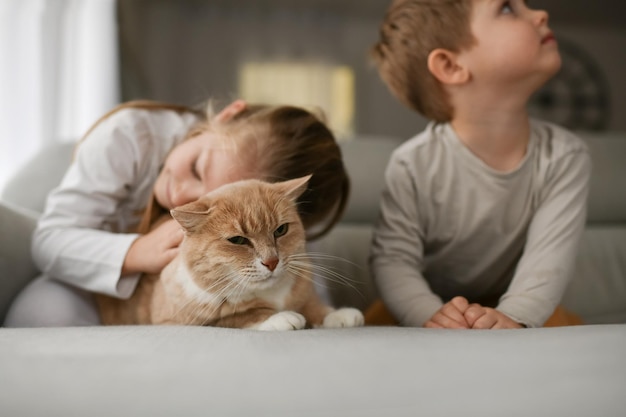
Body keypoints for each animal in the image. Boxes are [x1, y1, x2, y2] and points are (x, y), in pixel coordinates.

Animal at [95, 174, 364, 330]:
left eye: (281, 230)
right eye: (238, 240)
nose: (272, 261)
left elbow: (313, 305)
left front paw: (338, 315)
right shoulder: (173, 320)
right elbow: (236, 317)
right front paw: (282, 317)